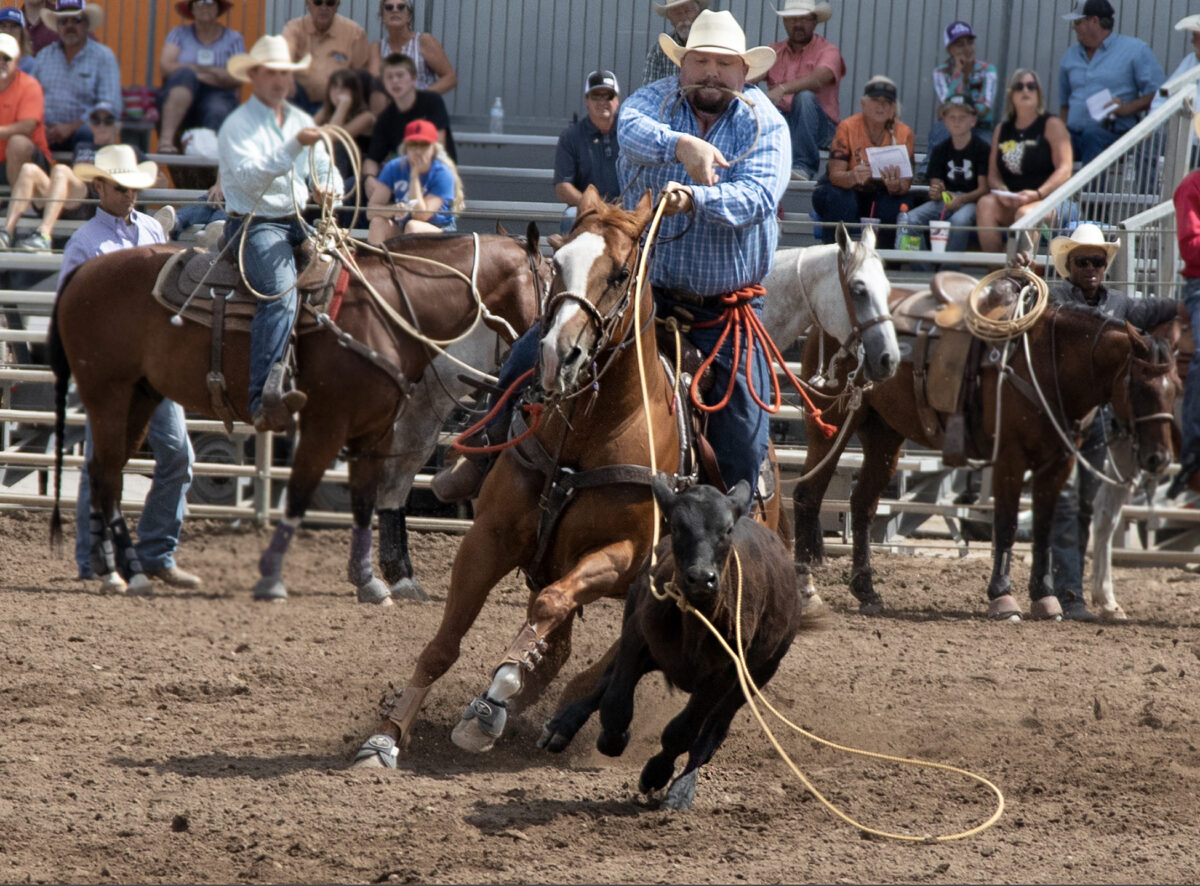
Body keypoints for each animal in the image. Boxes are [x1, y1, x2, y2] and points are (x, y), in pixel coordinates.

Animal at [49, 228, 547, 600]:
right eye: (551, 281)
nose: (547, 354)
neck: (387, 311)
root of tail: (82, 271)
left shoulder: (374, 432)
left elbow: (366, 500)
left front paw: (369, 582)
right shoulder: (328, 426)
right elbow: (303, 494)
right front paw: (272, 577)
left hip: (139, 396)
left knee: (103, 472)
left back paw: (114, 569)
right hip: (108, 395)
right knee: (107, 475)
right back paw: (128, 573)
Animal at [350, 189, 897, 763]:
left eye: (618, 274)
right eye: (558, 261)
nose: (558, 354)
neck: (587, 435)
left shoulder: (626, 557)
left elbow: (551, 606)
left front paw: (493, 700)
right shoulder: (488, 539)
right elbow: (444, 643)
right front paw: (387, 736)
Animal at [792, 300, 1176, 619]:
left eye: (1175, 387)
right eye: (1139, 386)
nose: (1158, 458)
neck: (1046, 363)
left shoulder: (1057, 463)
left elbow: (1043, 528)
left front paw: (1045, 597)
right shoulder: (1010, 459)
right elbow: (1006, 525)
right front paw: (1002, 597)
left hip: (884, 434)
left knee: (863, 505)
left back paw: (867, 592)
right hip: (830, 424)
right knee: (808, 495)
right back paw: (807, 591)